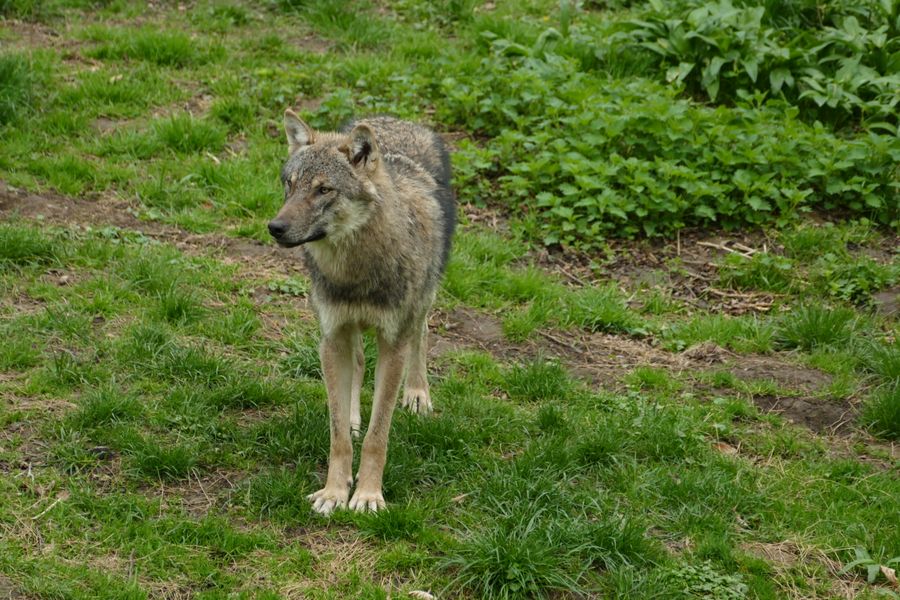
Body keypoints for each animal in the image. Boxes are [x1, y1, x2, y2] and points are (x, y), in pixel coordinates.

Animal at [268, 110, 456, 514]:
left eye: (324, 190)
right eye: (290, 185)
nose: (275, 227)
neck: (355, 273)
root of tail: (395, 119)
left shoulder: (393, 345)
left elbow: (377, 435)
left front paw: (368, 495)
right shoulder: (331, 338)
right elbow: (338, 434)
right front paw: (335, 492)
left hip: (424, 299)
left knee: (422, 333)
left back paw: (417, 394)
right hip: (347, 332)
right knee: (356, 363)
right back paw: (356, 416)